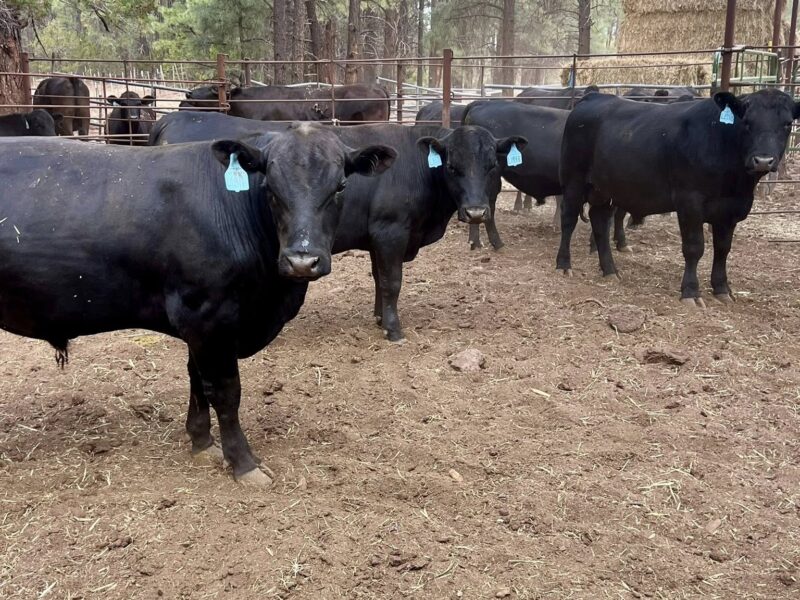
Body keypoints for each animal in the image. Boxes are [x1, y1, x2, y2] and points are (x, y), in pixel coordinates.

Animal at [0, 126, 396, 484]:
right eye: (269, 187)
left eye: (340, 186)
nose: (302, 260)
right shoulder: (208, 316)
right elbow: (225, 391)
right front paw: (243, 462)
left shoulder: (203, 324)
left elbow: (196, 378)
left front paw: (202, 442)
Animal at [147, 112, 525, 342]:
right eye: (452, 166)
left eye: (492, 166)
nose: (476, 212)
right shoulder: (391, 231)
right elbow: (392, 281)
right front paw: (393, 329)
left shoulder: (376, 238)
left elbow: (378, 278)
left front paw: (378, 317)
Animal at [557, 89, 799, 305]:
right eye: (747, 122)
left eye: (787, 124)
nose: (763, 160)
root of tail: (593, 97)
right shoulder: (689, 202)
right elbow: (694, 247)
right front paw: (690, 292)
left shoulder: (731, 210)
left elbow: (723, 249)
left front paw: (722, 289)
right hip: (574, 180)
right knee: (568, 220)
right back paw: (563, 265)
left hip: (606, 189)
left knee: (599, 222)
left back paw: (609, 270)